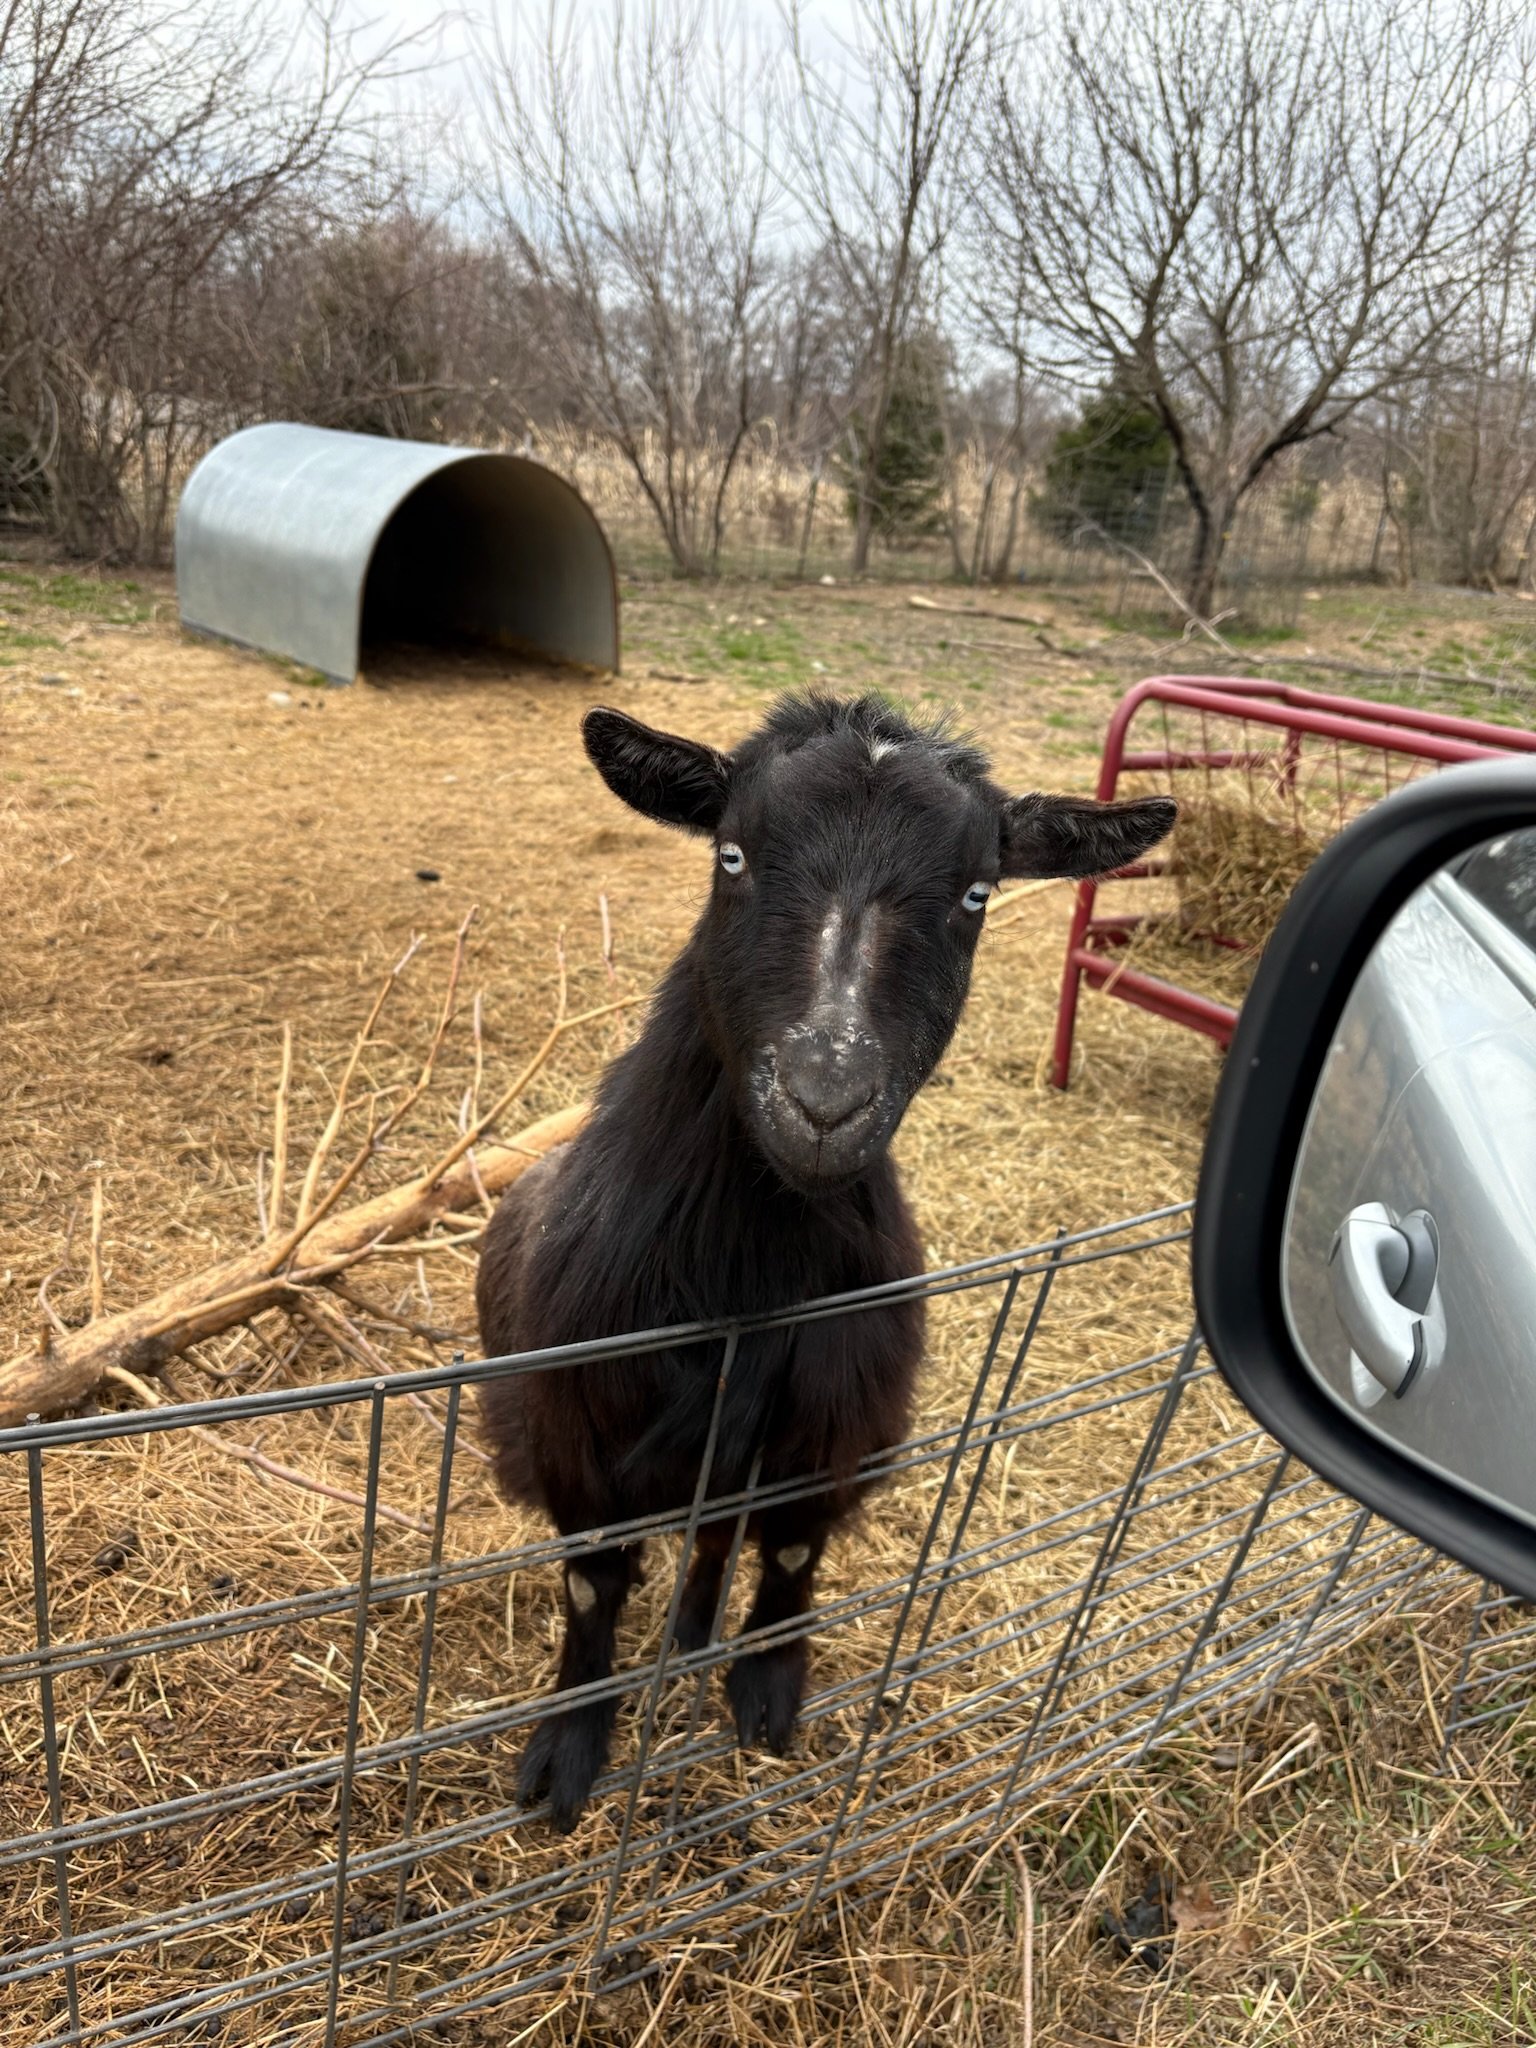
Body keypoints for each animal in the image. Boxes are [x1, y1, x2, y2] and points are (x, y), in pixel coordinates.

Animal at [476, 691, 1175, 1829]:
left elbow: (793, 1554)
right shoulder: (571, 1437)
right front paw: (565, 1757)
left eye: (977, 889)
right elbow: (591, 1593)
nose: (822, 1101)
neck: (746, 1279)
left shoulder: (836, 1426)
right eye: (730, 853)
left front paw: (767, 1693)